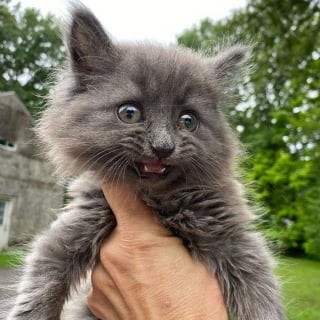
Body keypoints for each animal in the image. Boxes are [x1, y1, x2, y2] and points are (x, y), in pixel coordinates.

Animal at [5, 4, 284, 320]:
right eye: (129, 113)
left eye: (188, 121)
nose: (163, 146)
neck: (155, 199)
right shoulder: (79, 222)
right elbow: (44, 275)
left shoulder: (233, 235)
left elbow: (258, 291)